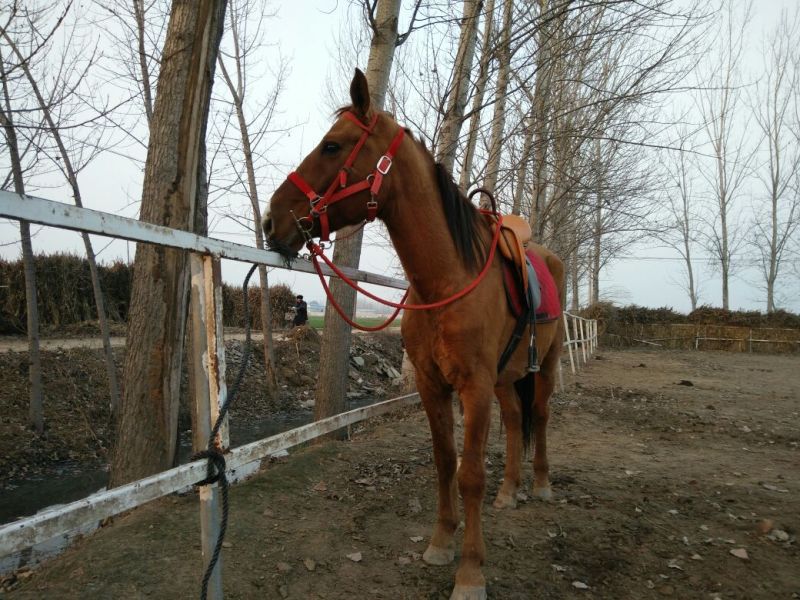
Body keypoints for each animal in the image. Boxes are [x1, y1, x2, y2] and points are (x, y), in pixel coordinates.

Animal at [263, 69, 565, 600]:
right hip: (506, 379)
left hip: (542, 366)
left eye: (332, 146)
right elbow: (445, 462)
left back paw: (542, 485)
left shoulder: (473, 388)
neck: (446, 281)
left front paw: (470, 572)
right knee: (515, 421)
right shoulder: (431, 384)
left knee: (541, 416)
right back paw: (510, 492)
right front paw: (441, 544)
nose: (271, 220)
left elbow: (470, 474)